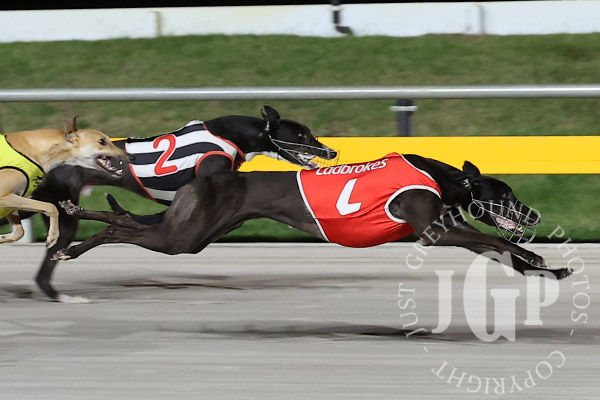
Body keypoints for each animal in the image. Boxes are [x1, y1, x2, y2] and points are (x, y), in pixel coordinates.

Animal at [0, 117, 127, 249]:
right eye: (102, 141)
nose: (129, 156)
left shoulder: (14, 198)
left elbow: (19, 232)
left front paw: (3, 238)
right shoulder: (4, 196)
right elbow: (51, 207)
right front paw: (52, 237)